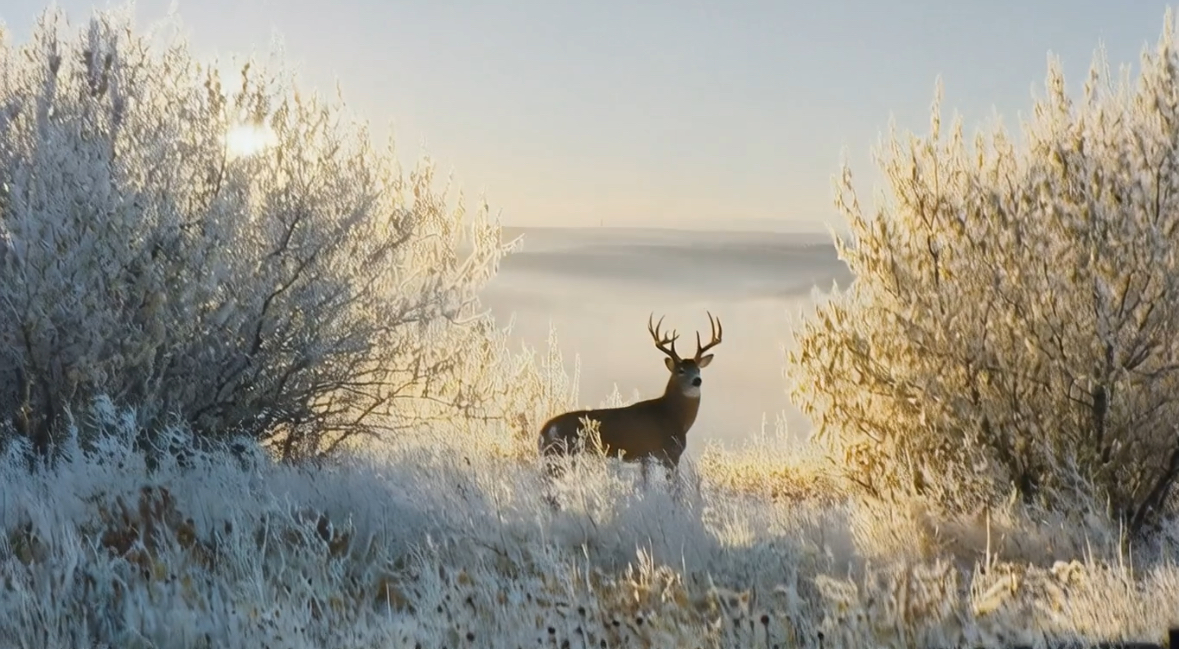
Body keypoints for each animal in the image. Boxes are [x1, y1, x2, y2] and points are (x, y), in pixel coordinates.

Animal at [537, 311, 723, 494]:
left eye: (698, 369)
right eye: (681, 370)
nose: (697, 381)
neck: (672, 415)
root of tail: (544, 430)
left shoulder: (645, 458)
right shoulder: (670, 453)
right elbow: (674, 488)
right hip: (562, 454)